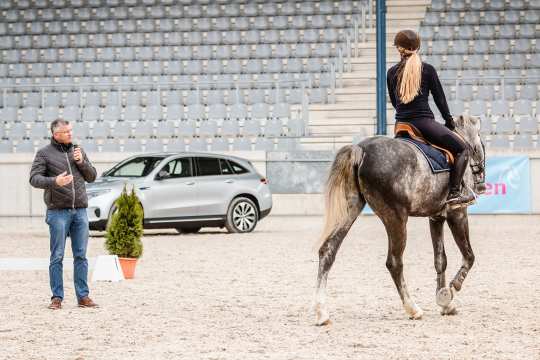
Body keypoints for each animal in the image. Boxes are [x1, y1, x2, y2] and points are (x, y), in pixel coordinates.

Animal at [312, 114, 486, 324]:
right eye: (481, 144)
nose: (482, 185)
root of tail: (361, 149)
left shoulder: (436, 217)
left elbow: (440, 260)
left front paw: (445, 303)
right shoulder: (457, 214)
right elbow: (469, 256)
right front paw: (451, 290)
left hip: (350, 210)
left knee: (328, 250)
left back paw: (322, 312)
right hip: (396, 218)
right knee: (394, 262)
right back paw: (413, 308)